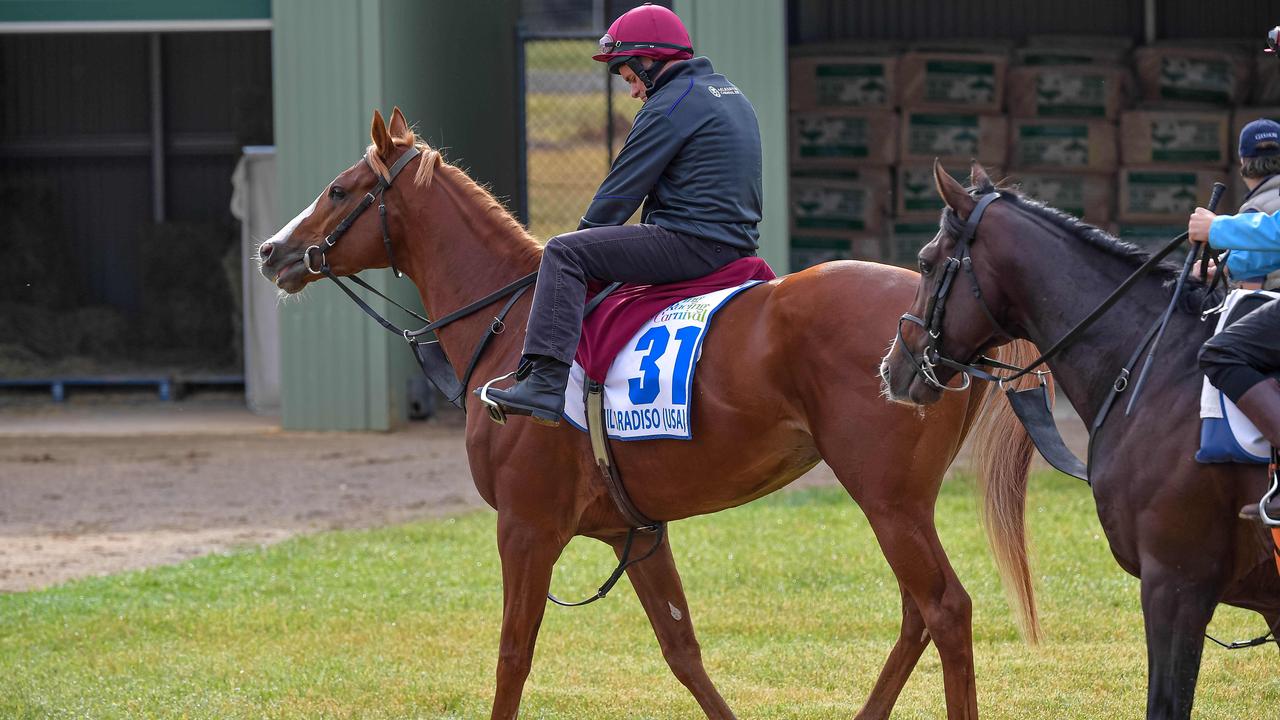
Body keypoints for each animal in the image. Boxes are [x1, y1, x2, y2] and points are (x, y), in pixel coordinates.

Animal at [259, 107, 1039, 717]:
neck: (513, 323)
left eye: (339, 189)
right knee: (917, 616)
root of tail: (929, 318)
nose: (272, 251)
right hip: (901, 505)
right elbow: (682, 649)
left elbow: (513, 655)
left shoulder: (526, 529)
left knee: (946, 611)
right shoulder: (634, 533)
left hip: (888, 502)